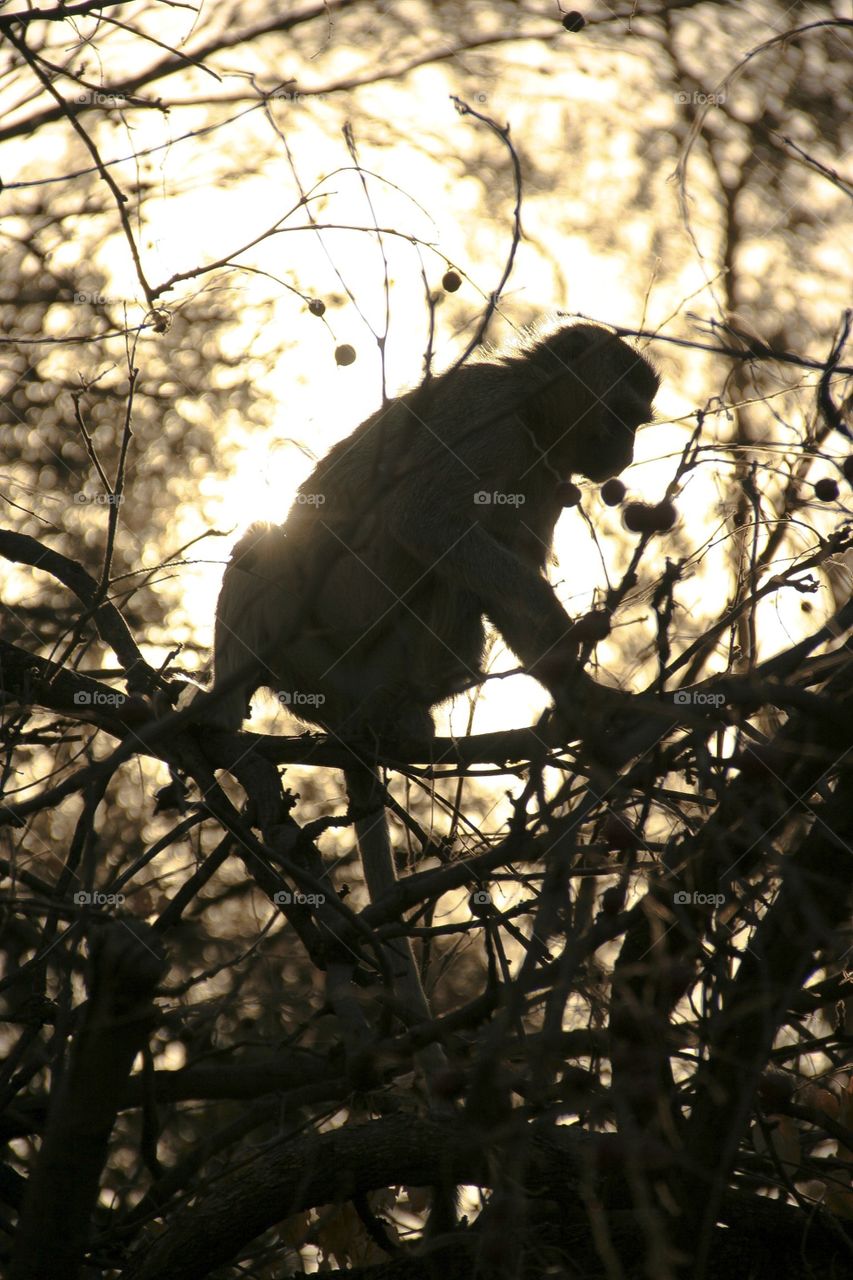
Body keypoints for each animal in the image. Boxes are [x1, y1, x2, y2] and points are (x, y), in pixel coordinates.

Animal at [199, 320, 655, 1090]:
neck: (533, 415)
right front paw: (574, 654)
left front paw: (583, 699)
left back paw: (403, 710)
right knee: (270, 542)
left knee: (460, 585)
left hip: (380, 661)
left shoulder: (543, 478)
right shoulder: (489, 419)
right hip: (316, 656)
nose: (624, 453)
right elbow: (426, 519)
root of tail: (340, 706)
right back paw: (225, 711)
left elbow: (502, 565)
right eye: (622, 416)